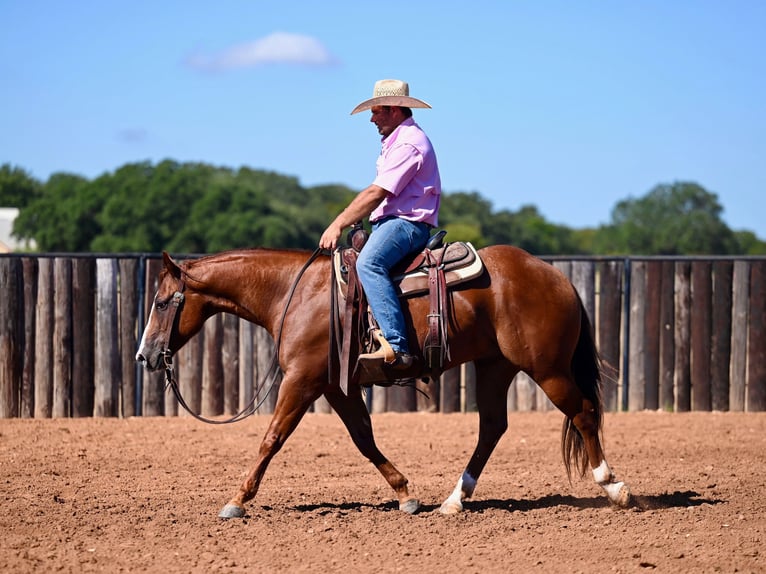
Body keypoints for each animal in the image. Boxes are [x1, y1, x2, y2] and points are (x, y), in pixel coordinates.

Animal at [136, 245, 632, 520]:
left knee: (584, 413)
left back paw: (614, 487)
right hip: (495, 366)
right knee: (493, 427)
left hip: (547, 369)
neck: (295, 293)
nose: (144, 356)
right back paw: (454, 500)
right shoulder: (336, 387)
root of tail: (556, 276)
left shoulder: (300, 381)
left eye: (161, 302)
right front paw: (405, 494)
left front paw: (236, 500)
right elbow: (364, 438)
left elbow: (271, 438)